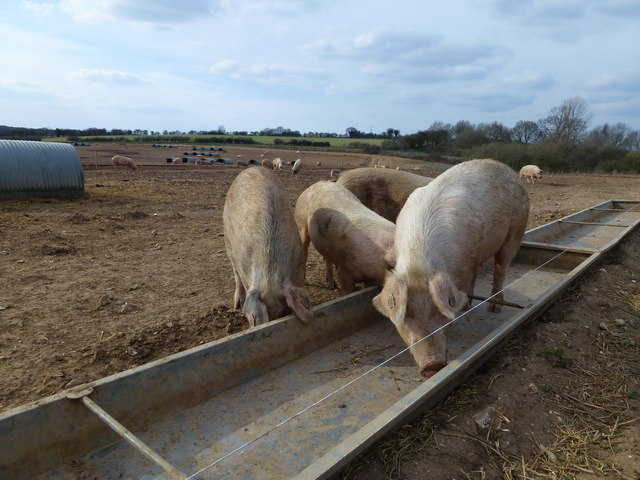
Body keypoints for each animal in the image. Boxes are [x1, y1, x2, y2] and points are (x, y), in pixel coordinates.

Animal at [223, 167, 313, 327]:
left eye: (282, 312)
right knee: (235, 273)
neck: (270, 273)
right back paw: (237, 304)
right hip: (227, 239)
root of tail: (252, 168)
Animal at [373, 159, 529, 379]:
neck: (419, 262)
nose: (432, 366)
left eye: (438, 309)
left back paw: (494, 307)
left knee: (501, 268)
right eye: (407, 313)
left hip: (516, 229)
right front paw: (462, 307)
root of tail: (508, 169)